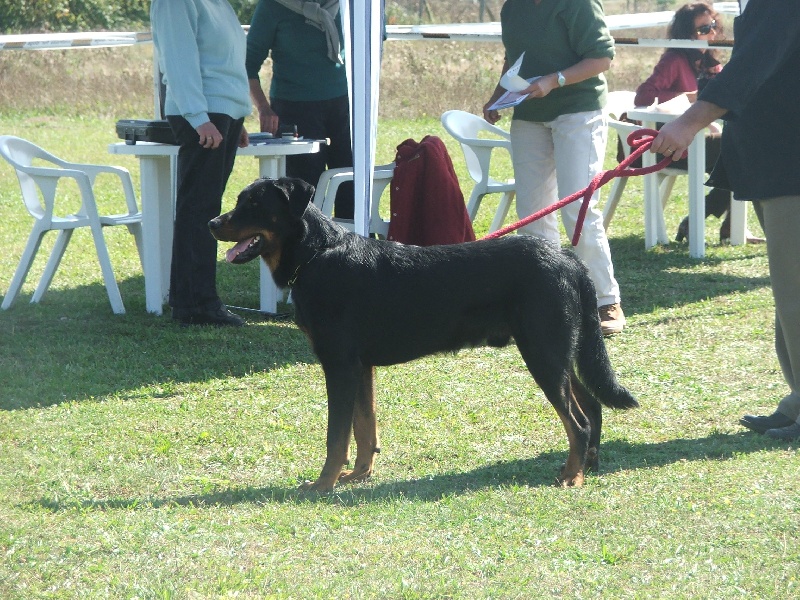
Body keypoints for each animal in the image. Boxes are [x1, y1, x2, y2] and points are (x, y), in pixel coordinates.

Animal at [209, 177, 640, 492]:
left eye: (253, 204)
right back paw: (589, 465)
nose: (213, 223)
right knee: (592, 406)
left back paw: (572, 476)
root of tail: (568, 258)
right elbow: (364, 429)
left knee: (577, 420)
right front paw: (359, 476)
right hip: (558, 352)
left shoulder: (340, 365)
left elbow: (337, 436)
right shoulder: (361, 367)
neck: (317, 255)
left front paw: (322, 485)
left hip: (544, 353)